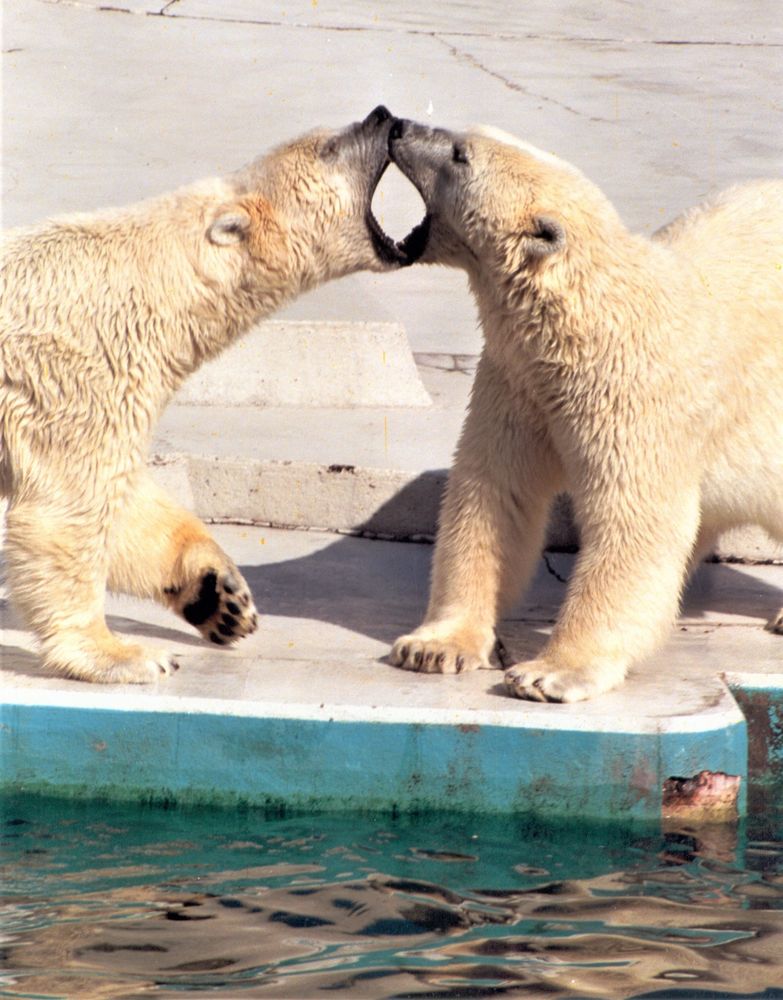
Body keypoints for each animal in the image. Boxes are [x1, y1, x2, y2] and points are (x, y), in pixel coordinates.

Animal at [1, 111, 416, 688]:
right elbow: (67, 506)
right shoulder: (74, 375)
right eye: (329, 148)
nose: (382, 115)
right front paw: (124, 654)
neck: (152, 286)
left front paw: (222, 598)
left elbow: (126, 502)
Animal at [386, 119, 783, 704]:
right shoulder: (518, 383)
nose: (396, 125)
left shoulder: (634, 395)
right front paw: (434, 646)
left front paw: (546, 673)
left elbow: (633, 520)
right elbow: (493, 495)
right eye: (466, 136)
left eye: (461, 153)